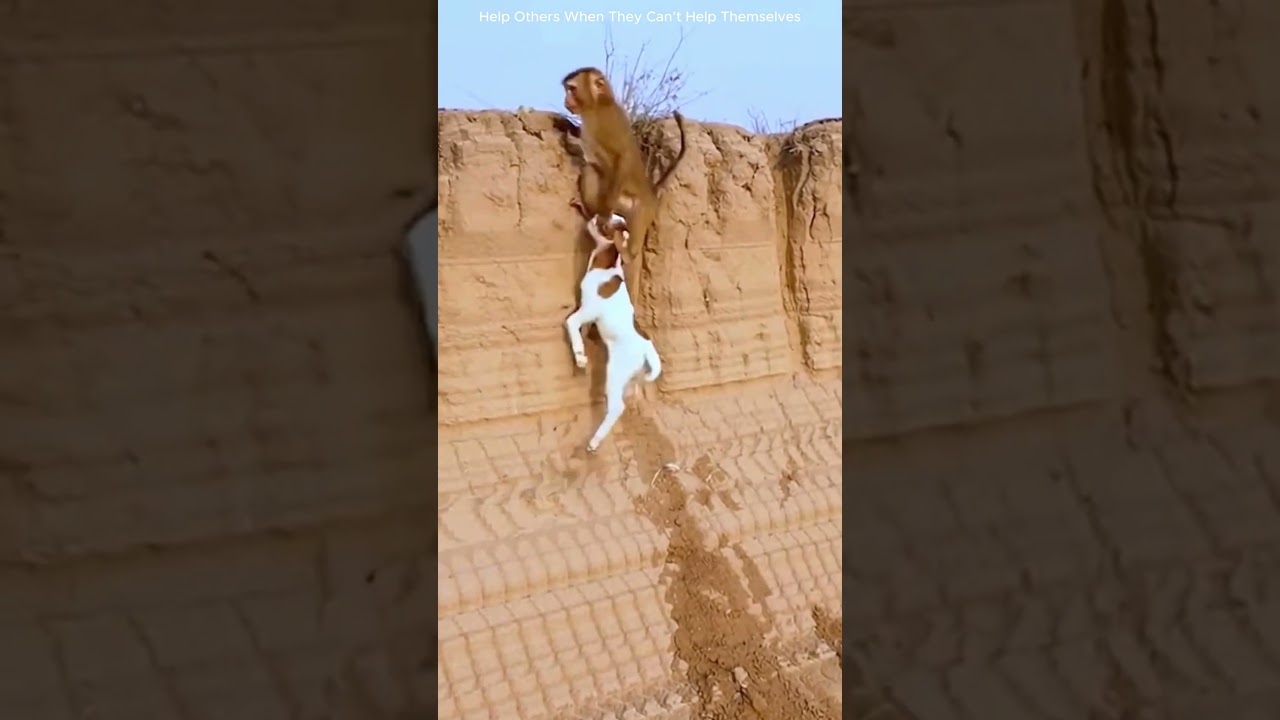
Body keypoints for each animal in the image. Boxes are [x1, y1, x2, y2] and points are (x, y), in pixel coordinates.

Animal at [560, 67, 687, 313]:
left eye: (572, 89)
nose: (565, 100)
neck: (598, 104)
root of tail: (651, 193)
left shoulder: (604, 123)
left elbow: (622, 159)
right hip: (620, 204)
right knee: (592, 172)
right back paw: (591, 213)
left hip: (641, 211)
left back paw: (623, 247)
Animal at [564, 213, 662, 452]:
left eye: (605, 224)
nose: (592, 218)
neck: (605, 267)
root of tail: (647, 347)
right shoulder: (588, 315)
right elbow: (581, 327)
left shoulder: (589, 310)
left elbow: (570, 322)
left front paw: (580, 357)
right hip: (630, 378)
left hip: (616, 373)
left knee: (618, 407)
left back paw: (594, 442)